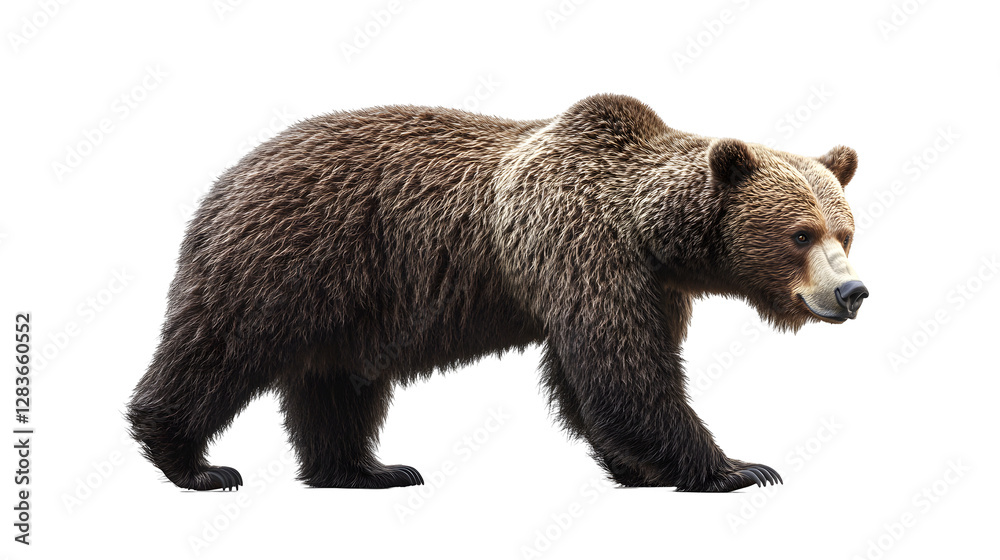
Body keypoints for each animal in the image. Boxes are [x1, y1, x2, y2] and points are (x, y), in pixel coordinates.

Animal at [126, 93, 868, 492]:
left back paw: (367, 469)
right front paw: (739, 466)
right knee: (219, 348)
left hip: (352, 299)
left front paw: (642, 466)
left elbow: (591, 378)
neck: (647, 229)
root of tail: (227, 177)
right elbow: (623, 371)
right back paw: (189, 460)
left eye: (846, 231)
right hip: (286, 258)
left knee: (337, 382)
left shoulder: (648, 283)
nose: (852, 290)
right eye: (800, 234)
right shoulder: (582, 247)